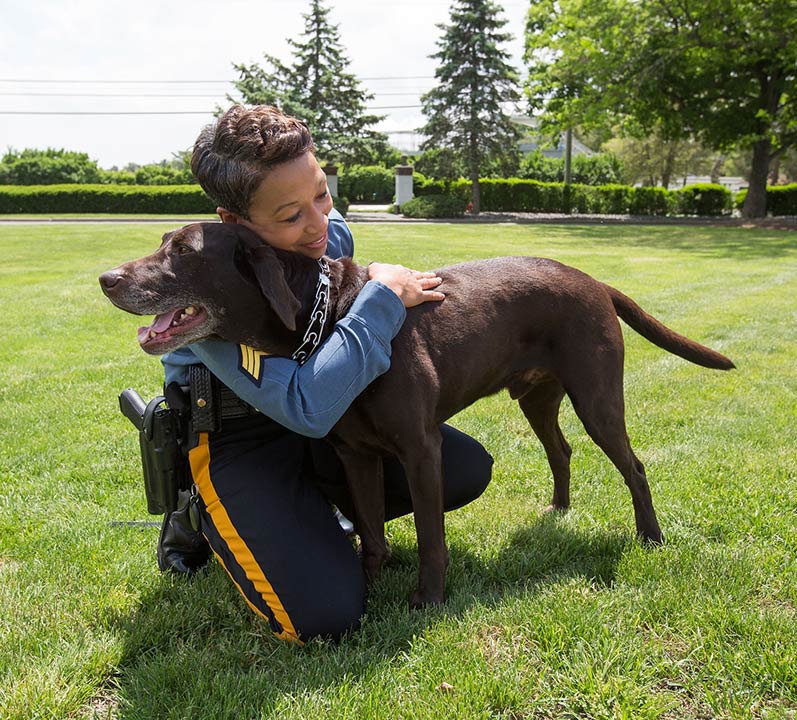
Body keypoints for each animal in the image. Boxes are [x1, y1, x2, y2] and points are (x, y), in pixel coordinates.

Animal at [99, 224, 732, 608]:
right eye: (164, 241)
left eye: (183, 250)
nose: (106, 279)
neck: (331, 316)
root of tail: (594, 281)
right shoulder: (356, 455)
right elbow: (372, 531)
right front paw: (371, 586)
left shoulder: (420, 449)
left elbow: (430, 535)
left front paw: (427, 602)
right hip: (536, 398)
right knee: (561, 449)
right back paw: (558, 510)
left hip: (596, 397)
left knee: (634, 466)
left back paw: (650, 538)